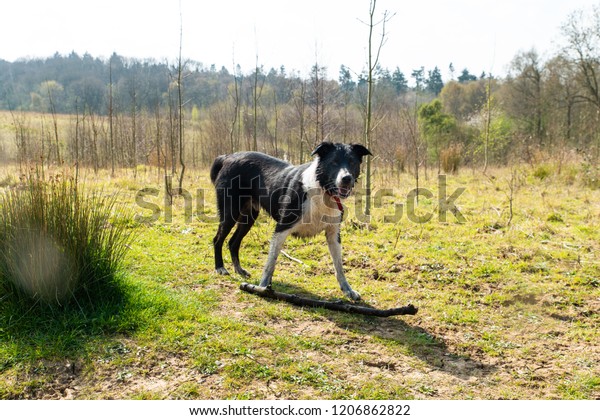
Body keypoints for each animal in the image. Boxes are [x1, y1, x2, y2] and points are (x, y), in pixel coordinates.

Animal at [210, 143, 370, 300]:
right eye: (334, 162)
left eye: (352, 162)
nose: (347, 178)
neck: (322, 189)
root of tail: (227, 157)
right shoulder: (281, 228)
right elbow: (270, 262)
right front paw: (263, 287)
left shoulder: (333, 234)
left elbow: (339, 266)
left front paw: (348, 290)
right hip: (230, 213)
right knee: (217, 239)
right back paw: (220, 268)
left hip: (249, 217)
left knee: (233, 242)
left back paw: (239, 270)